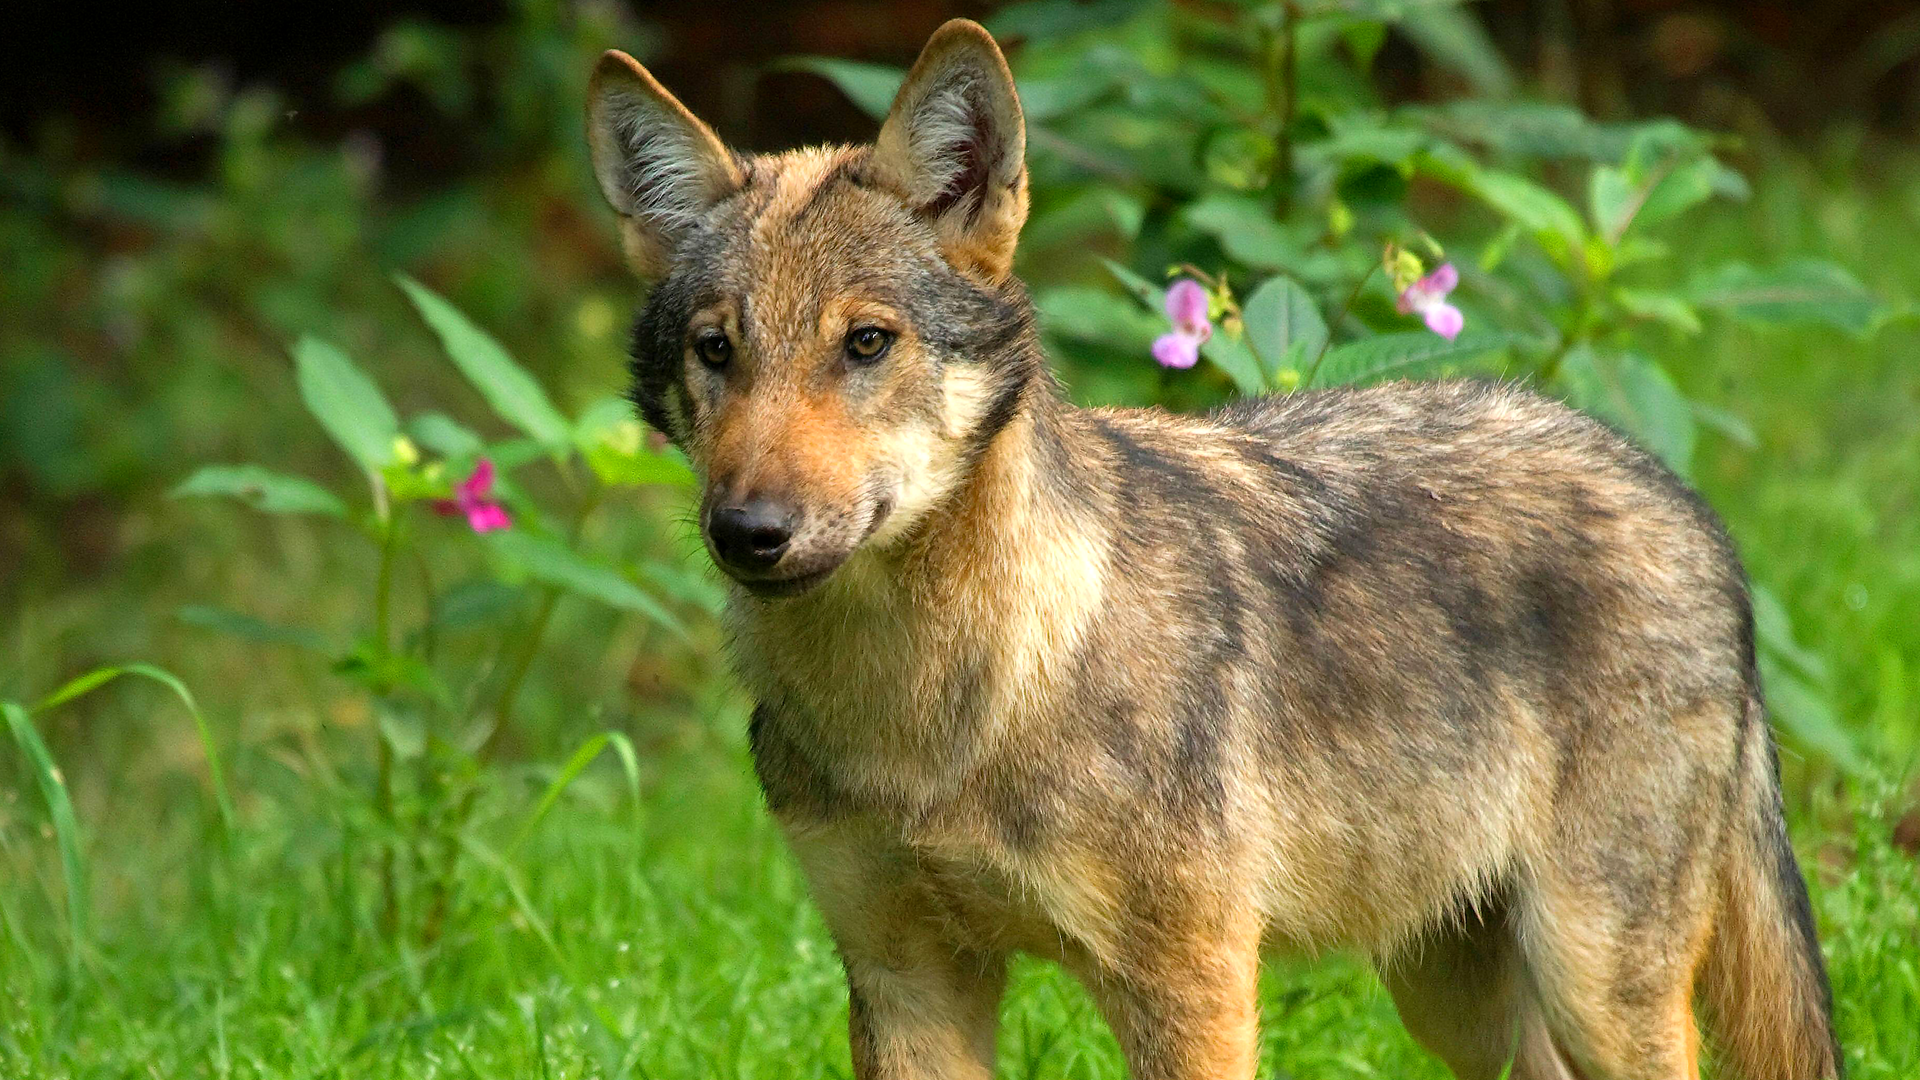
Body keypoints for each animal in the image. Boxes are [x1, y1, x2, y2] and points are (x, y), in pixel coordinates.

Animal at [586, 20, 1839, 1080]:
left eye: (865, 343)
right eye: (715, 350)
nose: (749, 531)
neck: (939, 713)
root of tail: (1683, 498)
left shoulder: (1191, 984)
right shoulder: (905, 981)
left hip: (1595, 984)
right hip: (1460, 1000)